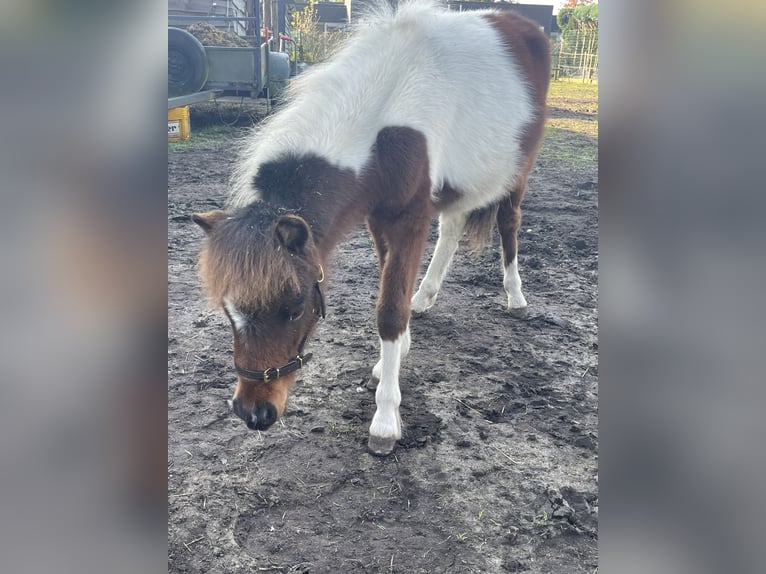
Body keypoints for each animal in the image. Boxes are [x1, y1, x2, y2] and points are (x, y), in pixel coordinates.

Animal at [192, 2, 552, 456]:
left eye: (294, 308)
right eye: (228, 311)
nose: (254, 413)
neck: (386, 123)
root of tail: (523, 25)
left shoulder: (409, 219)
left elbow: (389, 312)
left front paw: (385, 420)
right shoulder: (377, 217)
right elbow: (390, 289)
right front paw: (394, 354)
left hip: (517, 173)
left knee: (509, 224)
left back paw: (515, 296)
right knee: (452, 228)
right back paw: (426, 297)